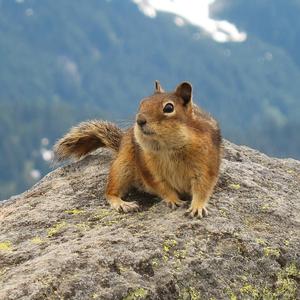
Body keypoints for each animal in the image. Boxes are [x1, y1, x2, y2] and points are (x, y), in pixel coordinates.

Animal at [54, 81, 223, 218]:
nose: (139, 120)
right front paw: (173, 199)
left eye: (169, 107)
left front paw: (197, 207)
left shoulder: (206, 165)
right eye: (142, 103)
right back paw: (123, 204)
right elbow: (162, 186)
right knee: (110, 192)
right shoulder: (149, 169)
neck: (169, 148)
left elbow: (203, 188)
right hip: (122, 166)